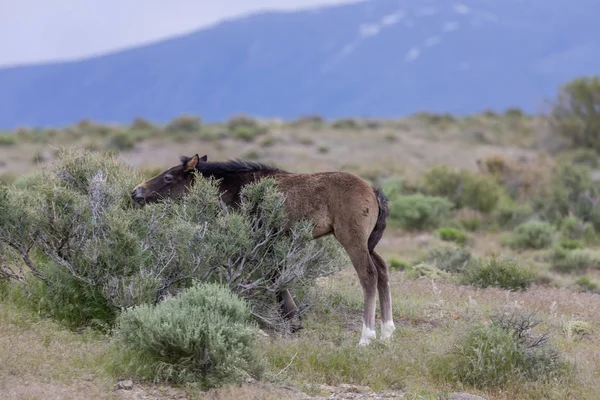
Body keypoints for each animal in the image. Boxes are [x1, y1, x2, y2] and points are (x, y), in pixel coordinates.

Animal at [131, 155, 394, 346]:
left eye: (167, 177)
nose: (136, 192)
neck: (238, 188)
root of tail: (373, 191)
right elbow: (275, 274)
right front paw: (293, 321)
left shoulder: (261, 236)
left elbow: (272, 275)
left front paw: (292, 320)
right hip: (367, 243)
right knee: (382, 270)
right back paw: (387, 332)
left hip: (352, 239)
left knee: (369, 274)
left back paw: (366, 337)